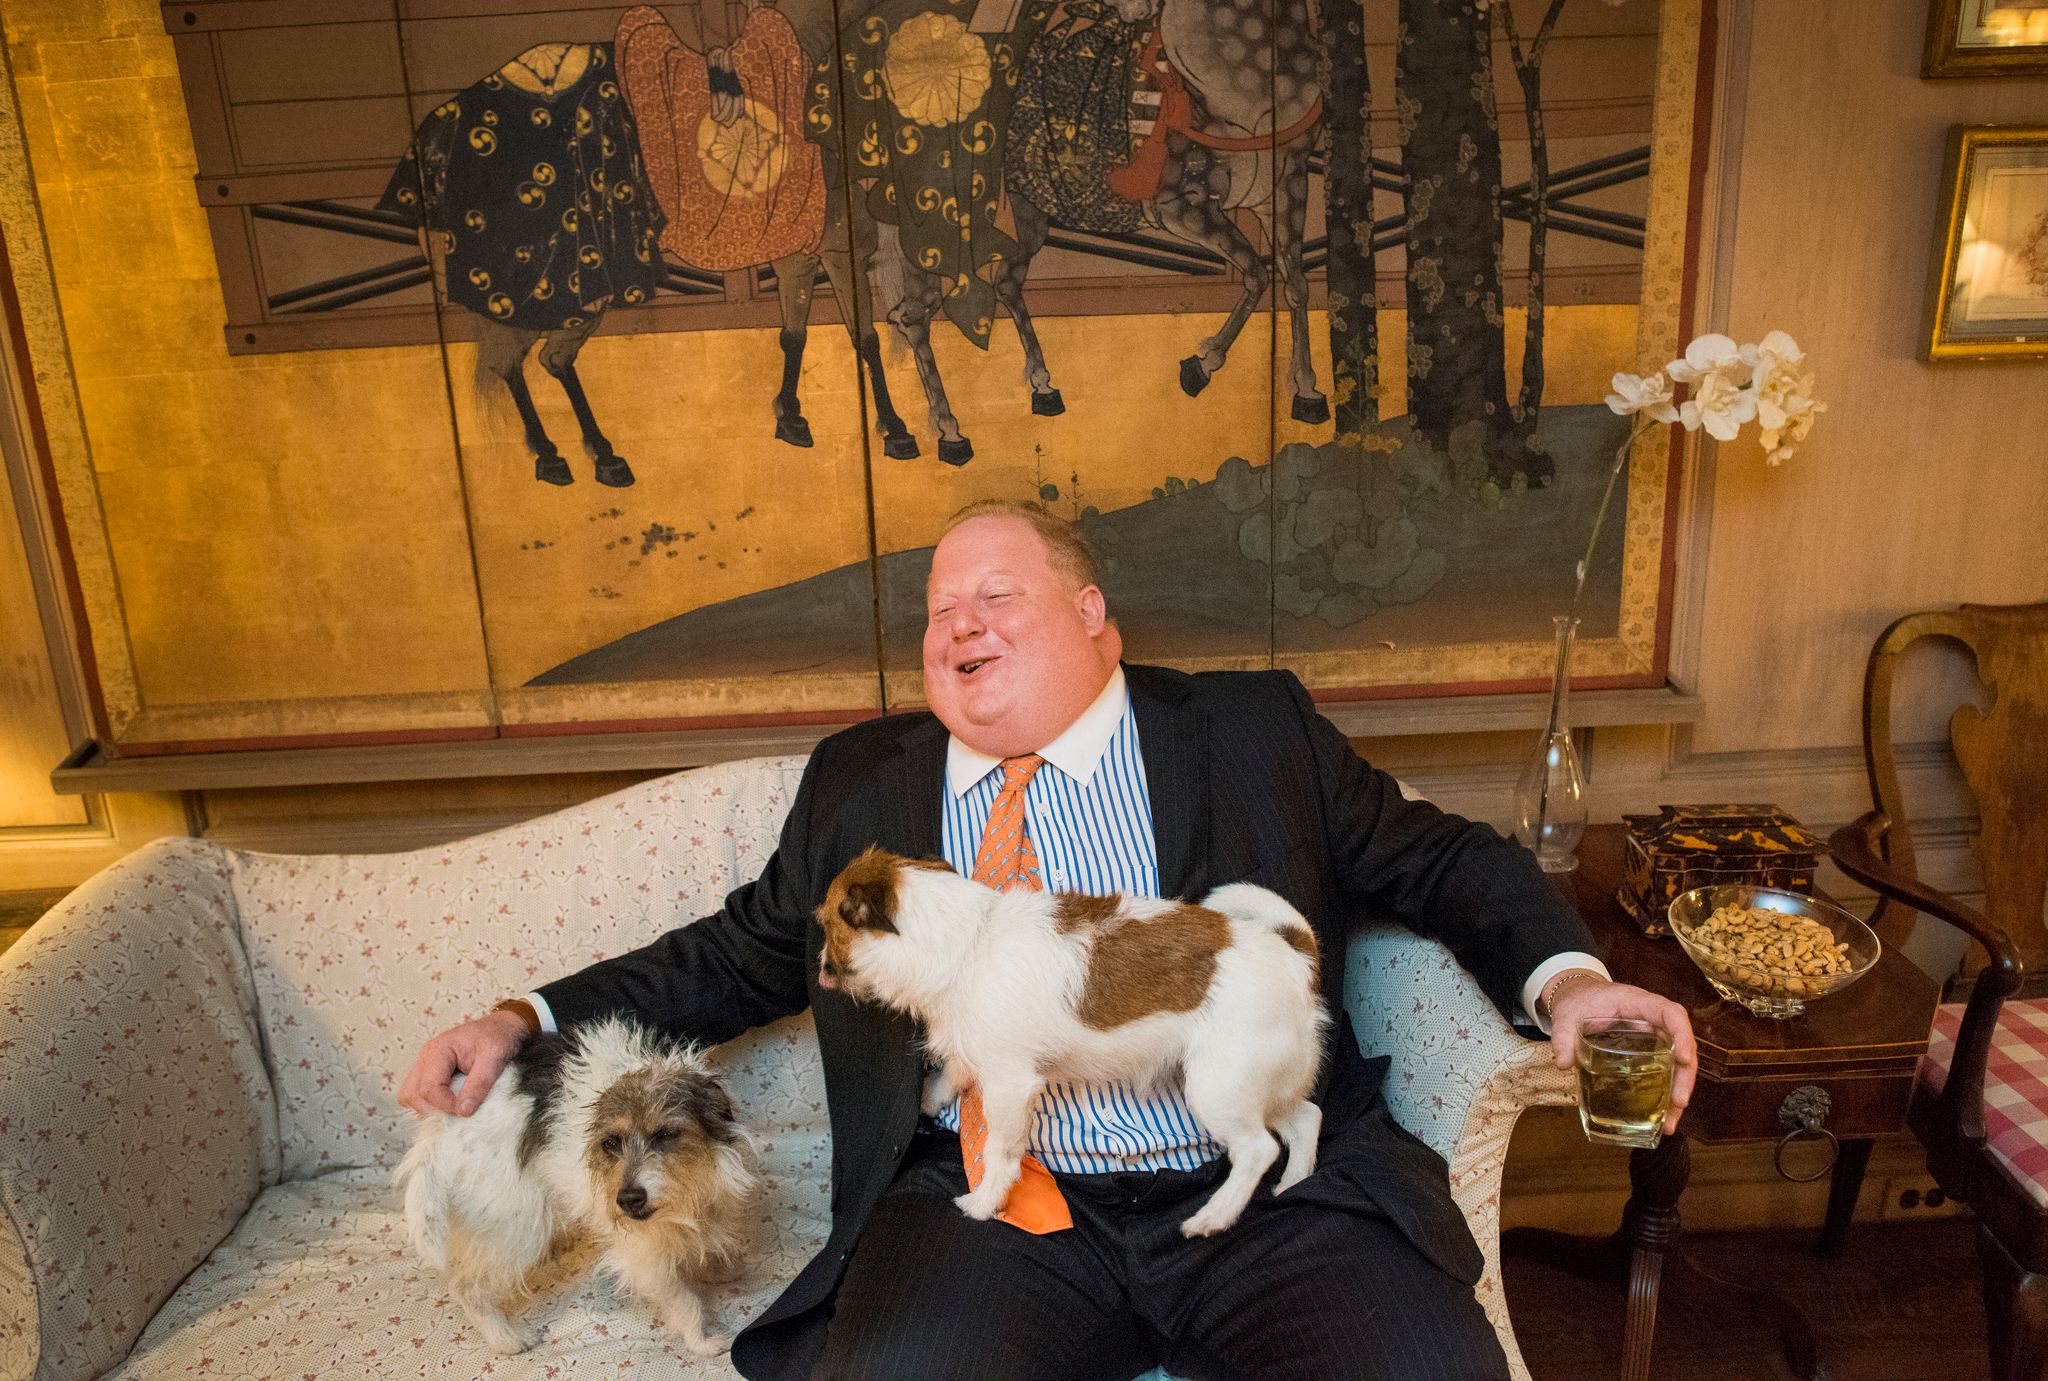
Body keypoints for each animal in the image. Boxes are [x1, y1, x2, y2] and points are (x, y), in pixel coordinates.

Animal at [393, 1012, 761, 1352]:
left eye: (665, 1134)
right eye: (611, 1143)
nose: (628, 1200)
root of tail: (440, 1125)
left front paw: (718, 1265)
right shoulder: (641, 1253)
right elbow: (681, 1299)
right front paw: (702, 1341)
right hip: (517, 1225)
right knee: (466, 1286)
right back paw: (506, 1338)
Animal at [815, 844, 1327, 1229]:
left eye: (825, 926)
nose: (819, 970)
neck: (969, 940)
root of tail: (1294, 953)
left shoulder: (1009, 1085)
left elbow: (1000, 1153)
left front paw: (984, 1203)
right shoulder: (977, 1051)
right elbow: (952, 1075)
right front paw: (928, 1097)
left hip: (1218, 1086)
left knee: (1258, 1150)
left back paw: (1213, 1218)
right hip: (1260, 1083)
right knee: (1307, 1118)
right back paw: (1295, 1184)